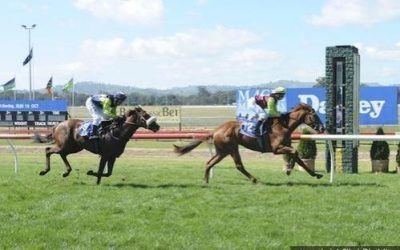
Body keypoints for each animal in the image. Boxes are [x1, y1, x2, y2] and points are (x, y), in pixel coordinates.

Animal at [175, 103, 324, 184]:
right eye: (314, 115)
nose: (322, 128)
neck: (283, 126)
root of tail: (216, 130)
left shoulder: (286, 146)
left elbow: (299, 158)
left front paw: (315, 174)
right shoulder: (277, 149)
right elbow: (295, 152)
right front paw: (288, 170)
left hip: (223, 151)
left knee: (209, 162)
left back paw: (205, 180)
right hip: (232, 148)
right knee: (239, 165)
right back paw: (255, 180)